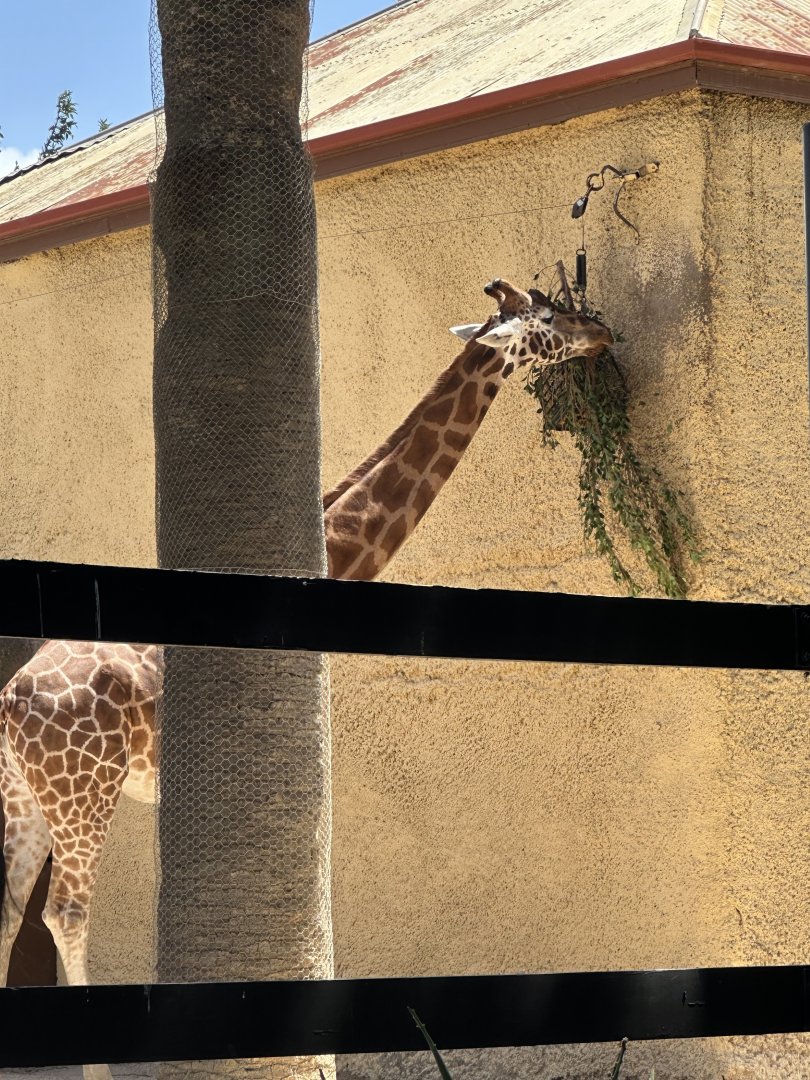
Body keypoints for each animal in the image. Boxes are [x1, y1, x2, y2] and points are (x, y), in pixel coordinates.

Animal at [0, 279, 610, 1078]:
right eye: (546, 317)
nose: (603, 332)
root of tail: (10, 698)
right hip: (83, 793)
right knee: (64, 912)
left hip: (25, 796)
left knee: (10, 909)